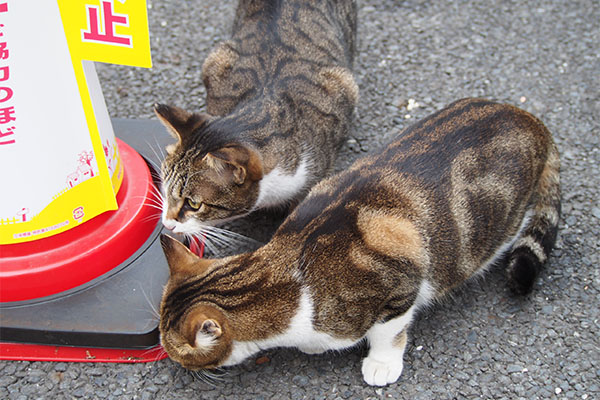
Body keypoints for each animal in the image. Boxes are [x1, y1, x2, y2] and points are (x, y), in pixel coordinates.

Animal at [157, 98, 560, 386]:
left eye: (174, 350)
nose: (172, 364)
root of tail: (532, 120)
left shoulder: (400, 280)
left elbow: (389, 329)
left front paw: (381, 364)